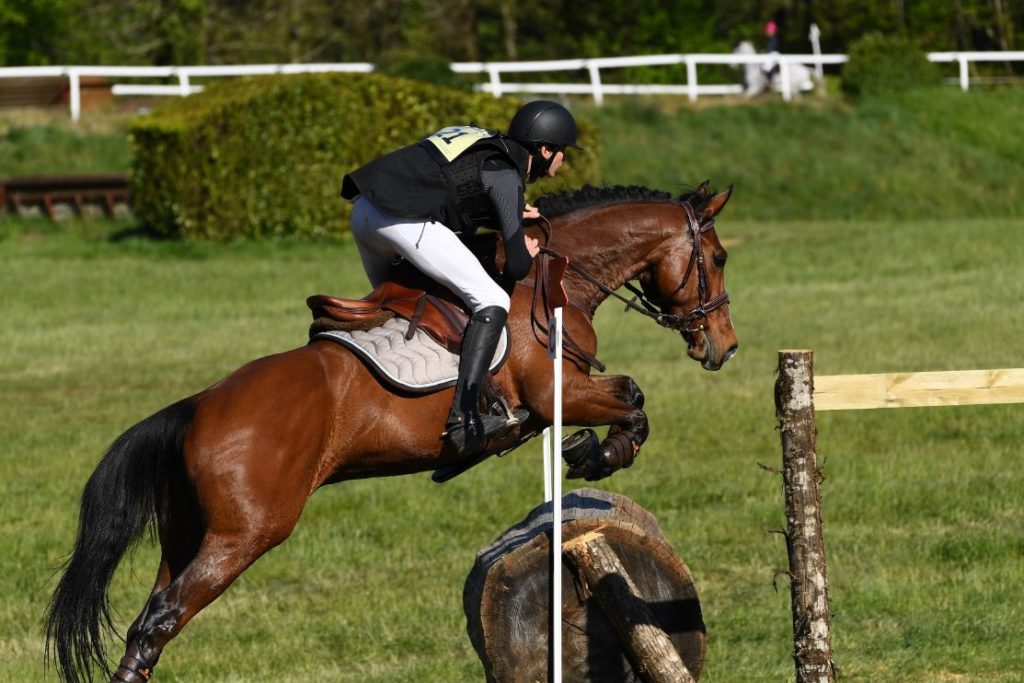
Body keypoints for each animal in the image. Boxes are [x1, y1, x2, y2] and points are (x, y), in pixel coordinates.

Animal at [46, 181, 737, 683]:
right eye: (720, 258)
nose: (723, 347)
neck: (554, 277)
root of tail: (197, 406)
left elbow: (630, 399)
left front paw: (592, 453)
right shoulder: (554, 393)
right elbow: (632, 398)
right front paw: (598, 453)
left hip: (187, 535)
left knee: (150, 623)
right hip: (245, 534)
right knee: (161, 620)